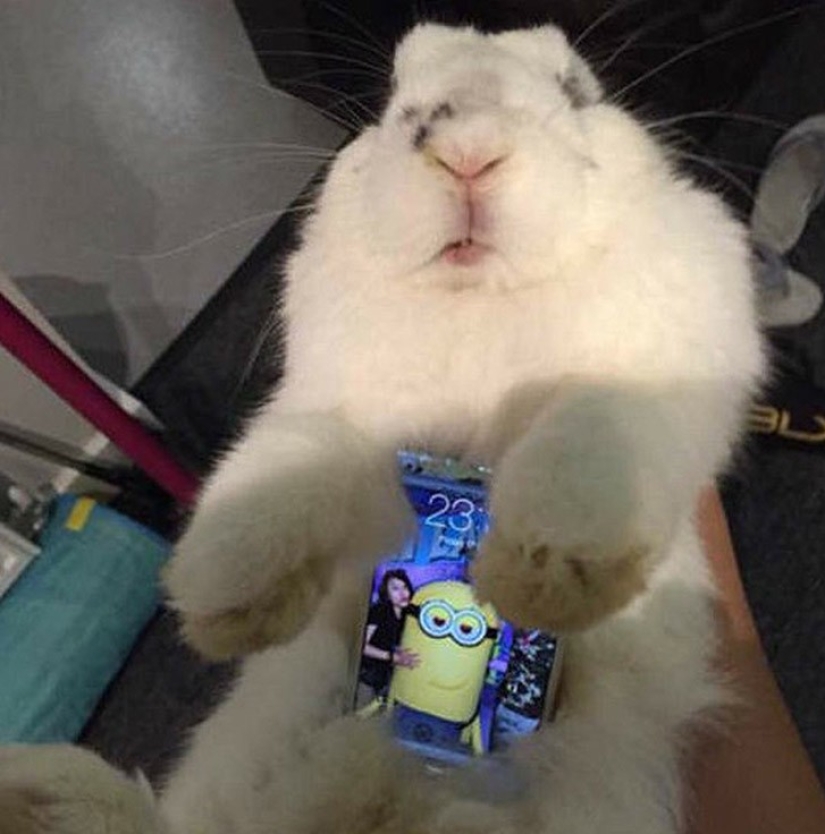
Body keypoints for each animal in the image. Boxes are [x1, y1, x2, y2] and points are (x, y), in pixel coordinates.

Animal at [0, 20, 765, 834]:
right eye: (390, 98)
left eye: (573, 89)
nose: (467, 153)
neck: (477, 299)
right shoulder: (338, 414)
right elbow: (287, 465)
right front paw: (221, 598)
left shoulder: (653, 376)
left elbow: (591, 437)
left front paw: (541, 572)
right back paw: (44, 788)